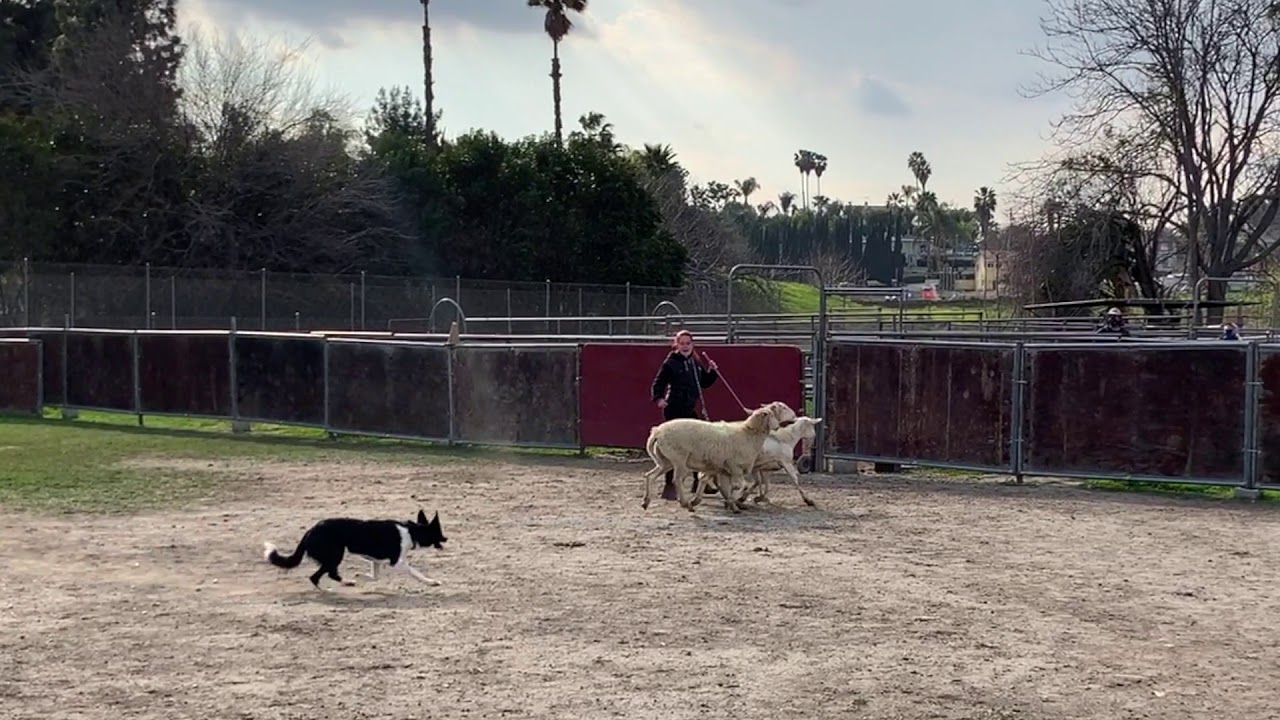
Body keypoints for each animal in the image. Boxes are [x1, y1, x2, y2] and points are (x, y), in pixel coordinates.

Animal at [641, 401, 797, 513]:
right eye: (782, 408)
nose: (795, 416)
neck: (748, 433)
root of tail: (657, 432)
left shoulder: (724, 470)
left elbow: (728, 486)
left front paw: (732, 504)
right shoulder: (735, 467)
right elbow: (741, 486)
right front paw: (735, 501)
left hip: (665, 461)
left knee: (650, 475)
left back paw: (646, 502)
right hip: (679, 459)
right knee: (677, 480)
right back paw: (686, 504)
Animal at [690, 416, 822, 508]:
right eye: (812, 425)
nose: (814, 435)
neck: (787, 438)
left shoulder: (764, 467)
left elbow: (764, 484)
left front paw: (758, 498)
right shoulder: (786, 463)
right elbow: (795, 481)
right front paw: (808, 500)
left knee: (706, 478)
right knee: (705, 478)